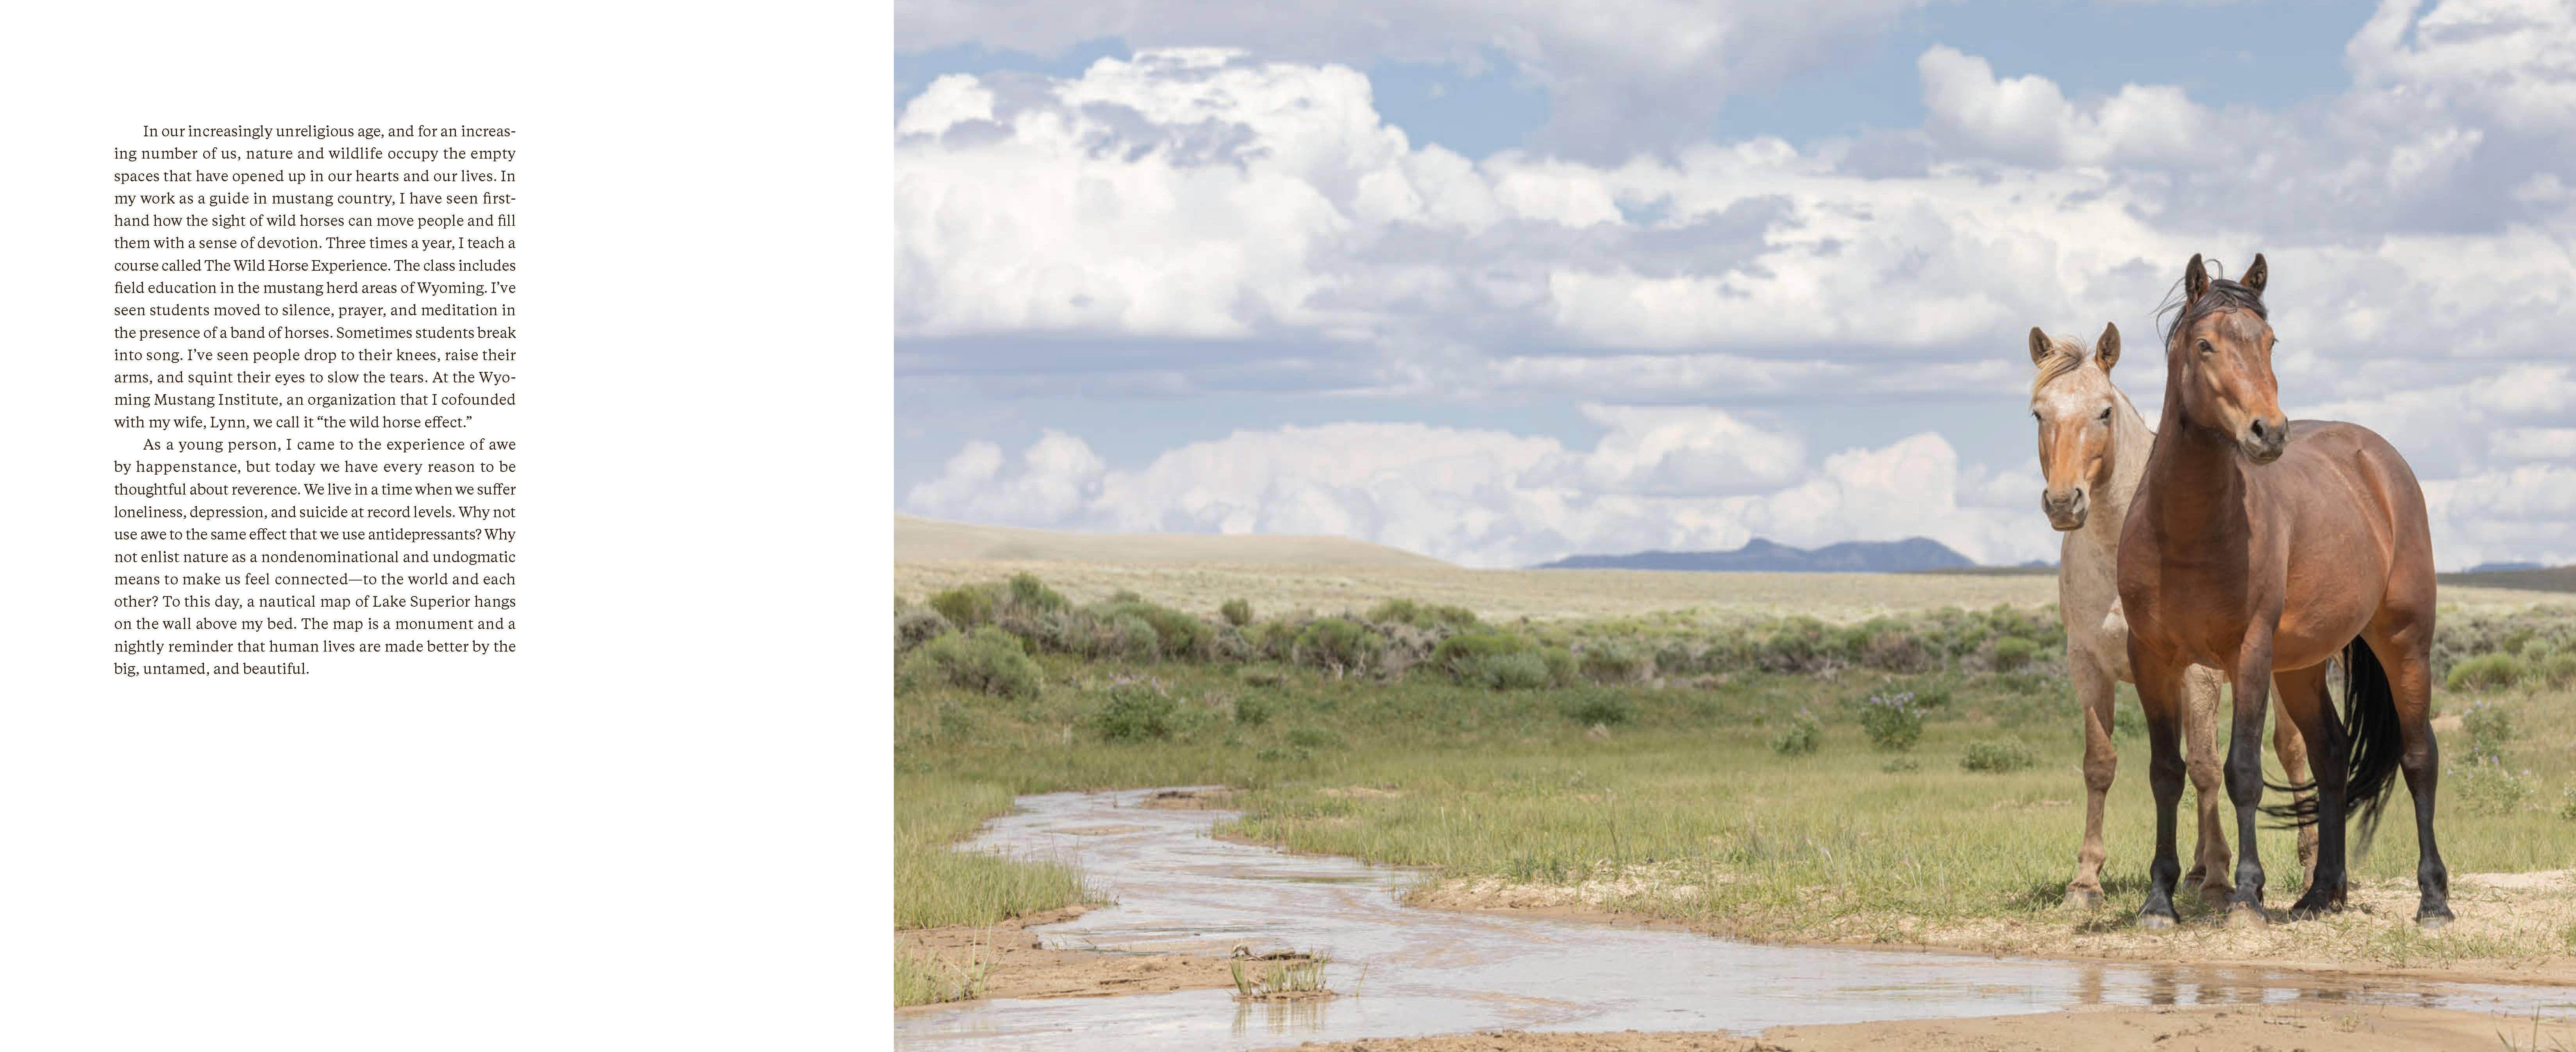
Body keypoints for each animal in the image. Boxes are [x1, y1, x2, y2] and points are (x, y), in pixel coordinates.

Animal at [2025, 324, 2316, 909]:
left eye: (2104, 412)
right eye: (2038, 413)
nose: (2065, 503)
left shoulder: (2198, 675)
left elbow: (2205, 766)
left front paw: (2221, 876)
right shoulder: (2089, 667)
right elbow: (2101, 764)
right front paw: (2085, 879)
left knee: (2293, 750)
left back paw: (2307, 866)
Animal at [2117, 253, 2448, 929]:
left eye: (2269, 342)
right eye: (2205, 344)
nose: (2267, 433)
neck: (2185, 530)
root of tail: (2377, 459)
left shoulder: (2248, 652)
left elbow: (2242, 769)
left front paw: (2246, 894)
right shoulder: (2151, 658)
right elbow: (2165, 772)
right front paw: (2160, 899)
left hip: (2404, 644)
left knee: (2417, 755)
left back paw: (2432, 900)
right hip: (2301, 666)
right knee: (2330, 754)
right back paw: (2321, 893)